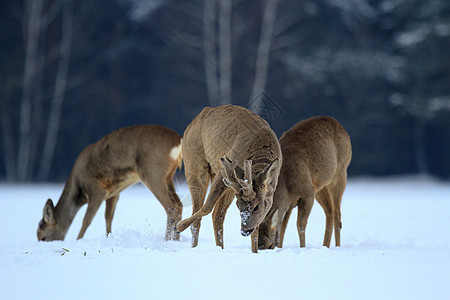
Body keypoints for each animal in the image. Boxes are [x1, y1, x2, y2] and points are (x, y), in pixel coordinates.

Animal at [36, 124, 182, 241]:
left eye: (43, 237)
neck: (78, 189)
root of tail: (178, 141)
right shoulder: (113, 193)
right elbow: (108, 217)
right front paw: (108, 237)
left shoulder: (96, 190)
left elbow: (87, 220)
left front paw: (78, 240)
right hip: (168, 176)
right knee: (179, 205)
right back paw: (176, 239)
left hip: (152, 171)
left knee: (171, 207)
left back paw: (167, 240)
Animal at [175, 105, 282, 253]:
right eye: (238, 206)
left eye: (256, 207)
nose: (244, 231)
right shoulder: (222, 171)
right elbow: (206, 207)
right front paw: (179, 226)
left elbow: (256, 227)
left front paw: (254, 252)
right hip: (194, 164)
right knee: (199, 211)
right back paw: (193, 245)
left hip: (230, 188)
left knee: (217, 216)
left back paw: (220, 248)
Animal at [256, 116, 352, 250]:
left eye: (268, 246)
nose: (261, 247)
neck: (286, 183)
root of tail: (342, 128)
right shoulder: (290, 201)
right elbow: (283, 226)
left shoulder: (307, 193)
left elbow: (300, 225)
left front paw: (302, 247)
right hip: (321, 187)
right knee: (330, 212)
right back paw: (325, 246)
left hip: (340, 173)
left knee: (337, 213)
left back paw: (337, 246)